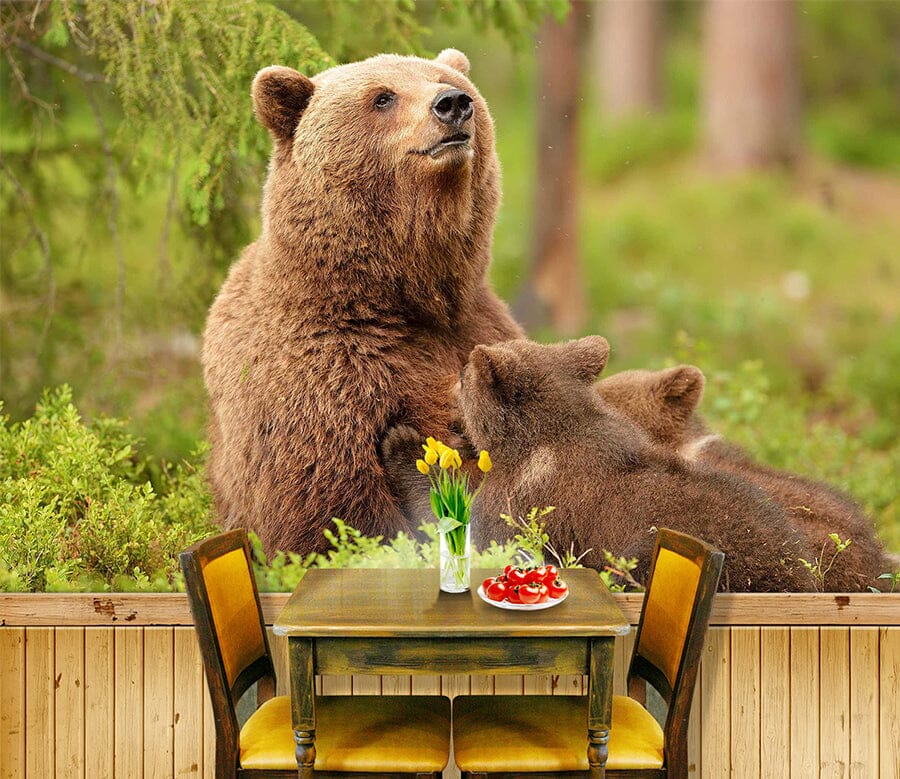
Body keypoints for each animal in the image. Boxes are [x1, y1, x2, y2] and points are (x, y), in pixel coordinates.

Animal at [202, 49, 523, 555]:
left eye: (441, 77)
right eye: (382, 97)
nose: (453, 104)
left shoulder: (479, 329)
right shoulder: (325, 378)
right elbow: (333, 511)